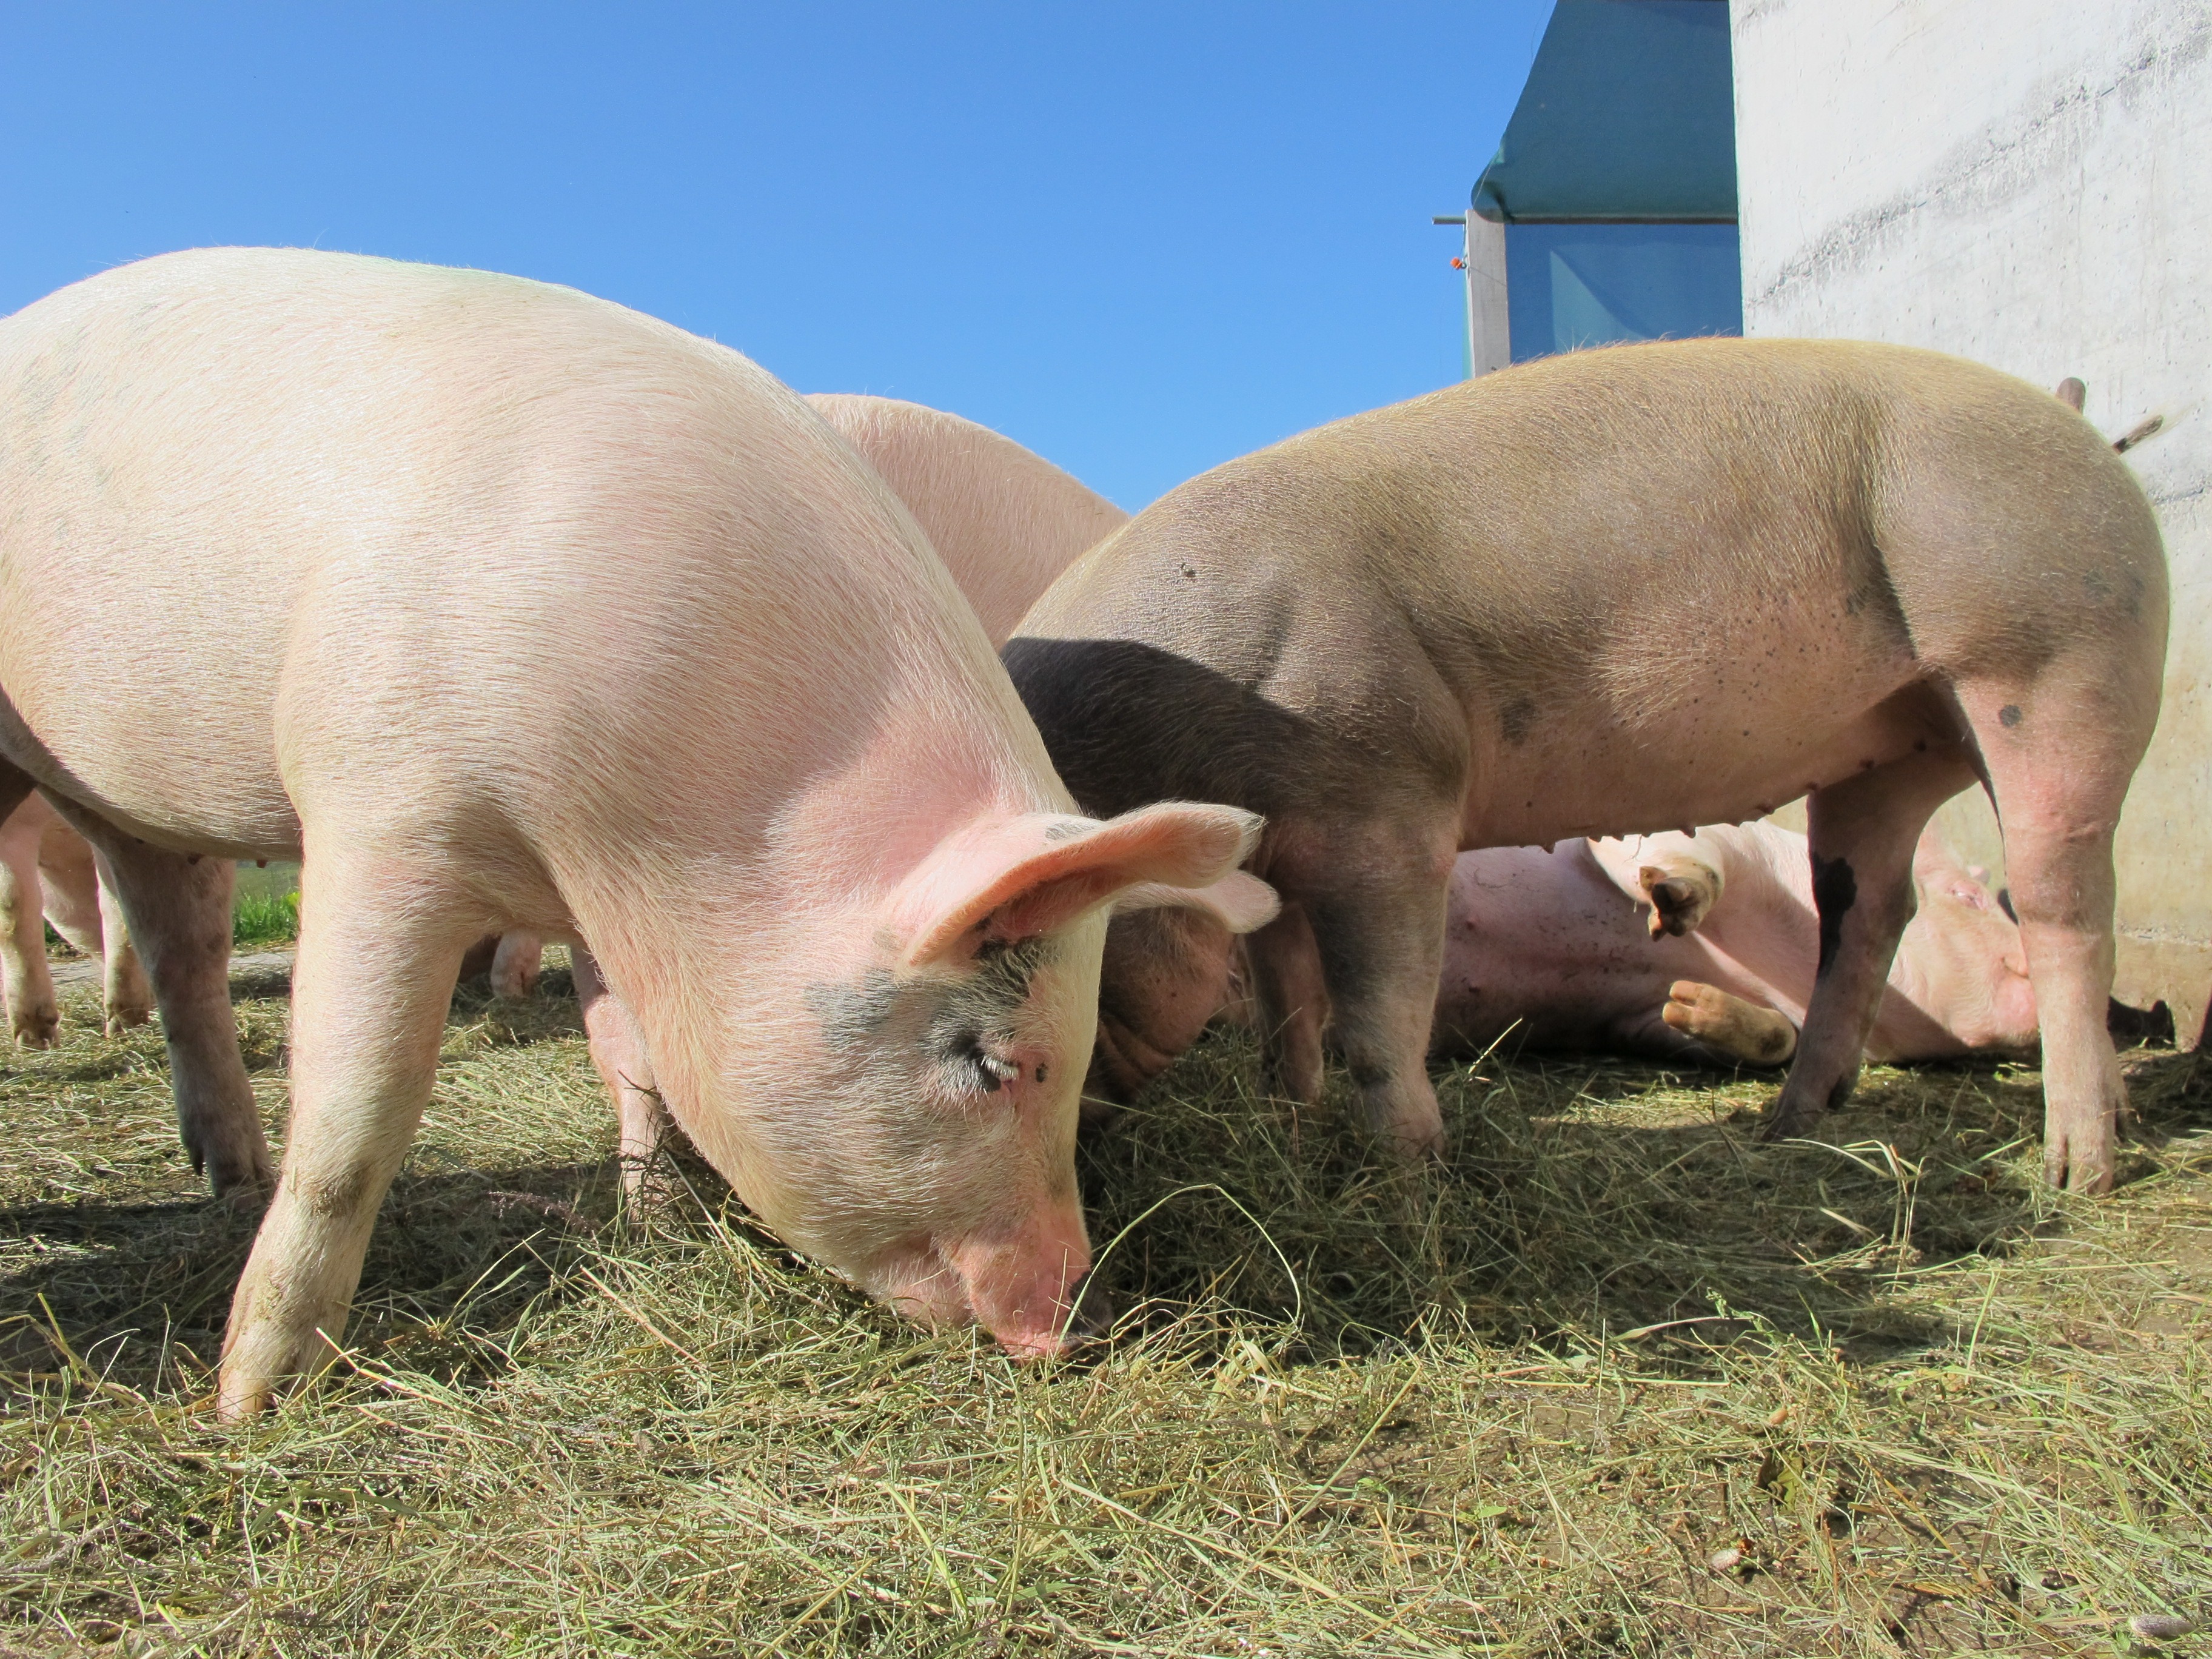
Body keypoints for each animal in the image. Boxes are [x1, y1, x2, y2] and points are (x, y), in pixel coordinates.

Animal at [1013, 340, 2168, 1194]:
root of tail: (2083, 433)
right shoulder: (1283, 850)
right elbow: (1286, 1004)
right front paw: (1289, 1127)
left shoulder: (1384, 805)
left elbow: (1377, 1015)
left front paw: (1409, 1175)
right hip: (1893, 745)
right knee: (1868, 911)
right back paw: (1790, 1124)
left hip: (2053, 656)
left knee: (2067, 900)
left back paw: (2078, 1170)